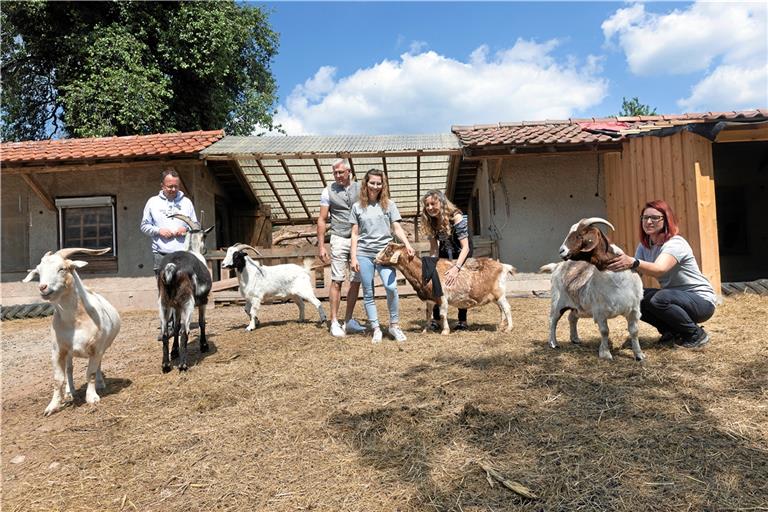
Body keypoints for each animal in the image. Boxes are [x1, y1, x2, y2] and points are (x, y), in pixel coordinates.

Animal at [22, 248, 122, 416]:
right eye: (39, 271)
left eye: (62, 268)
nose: (43, 287)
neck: (76, 322)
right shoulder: (58, 351)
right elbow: (58, 379)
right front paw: (52, 406)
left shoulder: (96, 348)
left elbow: (91, 373)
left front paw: (92, 398)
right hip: (69, 353)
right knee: (69, 369)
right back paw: (70, 391)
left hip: (102, 348)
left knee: (98, 366)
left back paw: (100, 383)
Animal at [158, 212, 213, 372]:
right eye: (204, 236)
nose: (205, 250)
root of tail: (172, 267)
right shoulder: (203, 300)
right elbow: (201, 322)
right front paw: (204, 345)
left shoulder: (176, 306)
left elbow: (175, 327)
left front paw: (174, 351)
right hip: (188, 302)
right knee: (185, 331)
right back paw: (183, 365)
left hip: (163, 303)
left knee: (165, 332)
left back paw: (166, 365)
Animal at [374, 241, 516, 334]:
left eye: (388, 251)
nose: (375, 258)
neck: (423, 272)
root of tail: (503, 266)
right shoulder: (430, 299)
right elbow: (428, 314)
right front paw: (425, 330)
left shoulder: (442, 297)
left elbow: (442, 314)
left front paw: (445, 331)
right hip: (493, 296)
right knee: (501, 309)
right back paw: (500, 326)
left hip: (500, 293)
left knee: (507, 308)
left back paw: (508, 328)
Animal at [544, 218, 644, 362]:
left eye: (580, 235)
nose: (561, 251)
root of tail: (557, 266)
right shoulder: (600, 311)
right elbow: (604, 331)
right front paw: (605, 353)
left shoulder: (634, 309)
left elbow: (634, 331)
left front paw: (639, 355)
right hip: (557, 301)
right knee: (553, 320)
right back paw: (553, 343)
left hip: (576, 306)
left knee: (572, 318)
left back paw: (575, 339)